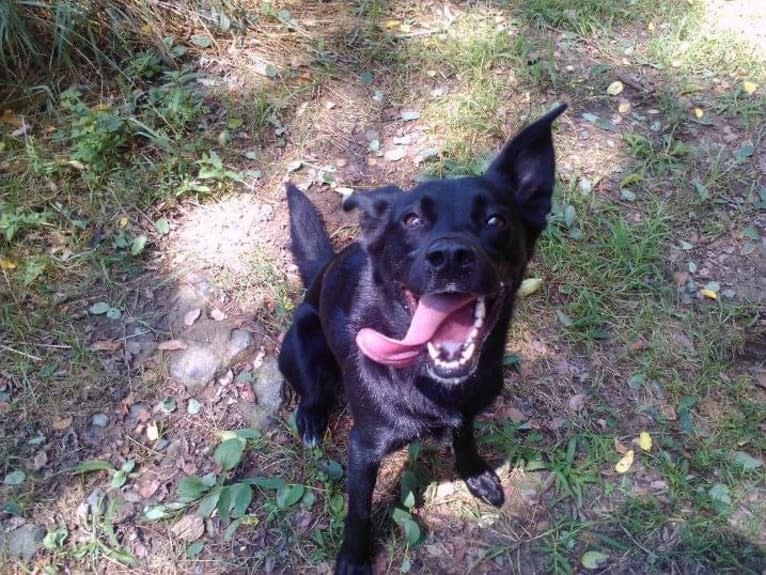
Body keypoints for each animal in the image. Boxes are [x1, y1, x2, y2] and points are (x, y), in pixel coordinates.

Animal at [280, 104, 568, 575]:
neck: (428, 382)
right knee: (312, 391)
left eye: (496, 219)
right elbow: (358, 511)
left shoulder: (468, 409)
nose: (450, 256)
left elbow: (465, 437)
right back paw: (310, 418)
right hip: (300, 340)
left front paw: (474, 473)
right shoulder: (364, 447)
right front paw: (353, 559)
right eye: (411, 220)